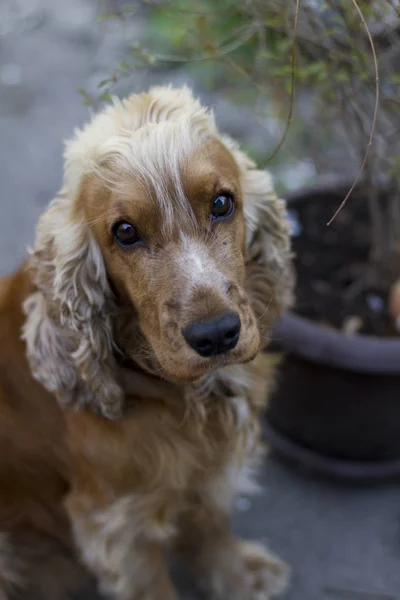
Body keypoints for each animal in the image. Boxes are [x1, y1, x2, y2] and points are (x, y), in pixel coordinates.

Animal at [0, 85, 294, 600]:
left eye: (222, 203)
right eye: (125, 232)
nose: (216, 334)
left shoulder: (208, 469)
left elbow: (212, 521)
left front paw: (240, 576)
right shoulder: (116, 521)